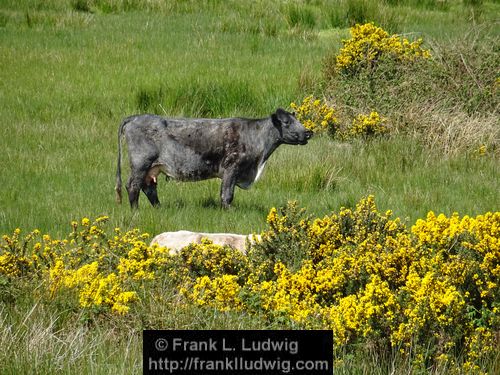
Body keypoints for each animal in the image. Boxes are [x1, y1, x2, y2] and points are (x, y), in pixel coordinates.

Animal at [114, 108, 312, 210]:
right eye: (287, 122)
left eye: (297, 121)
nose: (308, 132)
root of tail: (135, 117)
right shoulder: (231, 168)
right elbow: (227, 195)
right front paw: (229, 212)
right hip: (141, 163)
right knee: (133, 186)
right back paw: (135, 211)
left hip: (152, 168)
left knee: (149, 188)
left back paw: (159, 208)